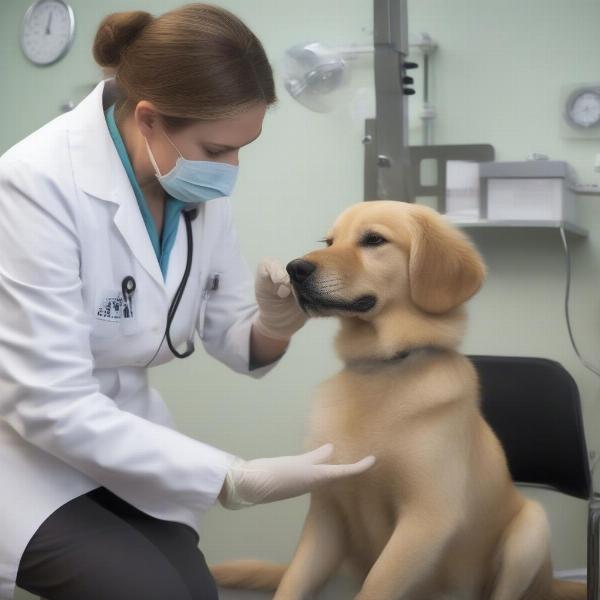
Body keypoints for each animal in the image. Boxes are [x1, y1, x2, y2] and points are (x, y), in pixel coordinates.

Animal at [211, 203, 584, 600]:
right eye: (328, 242)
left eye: (374, 239)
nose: (294, 269)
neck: (382, 367)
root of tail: (550, 583)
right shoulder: (326, 511)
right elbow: (293, 582)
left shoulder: (426, 519)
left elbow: (375, 586)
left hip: (530, 530)